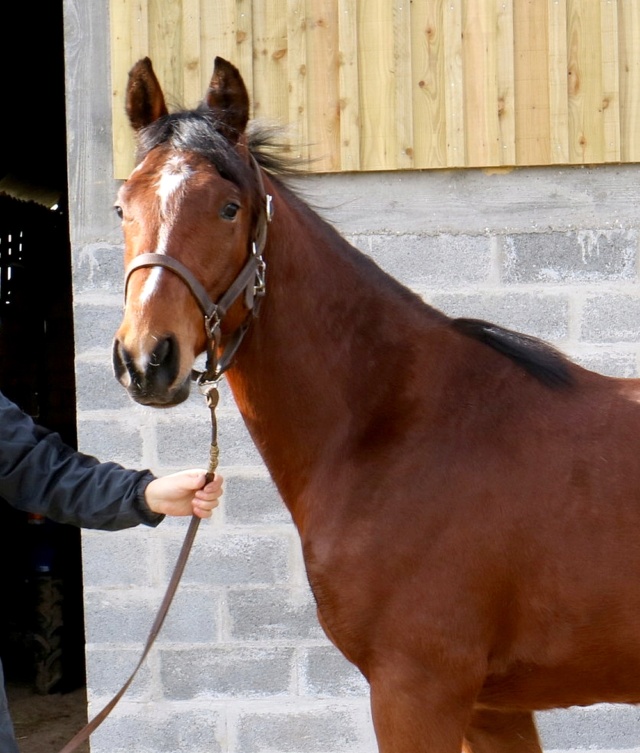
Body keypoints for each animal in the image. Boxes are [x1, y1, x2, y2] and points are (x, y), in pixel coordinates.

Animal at [112, 54, 640, 752]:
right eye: (122, 206)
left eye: (228, 207)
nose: (147, 359)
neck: (396, 429)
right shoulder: (493, 709)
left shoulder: (417, 691)